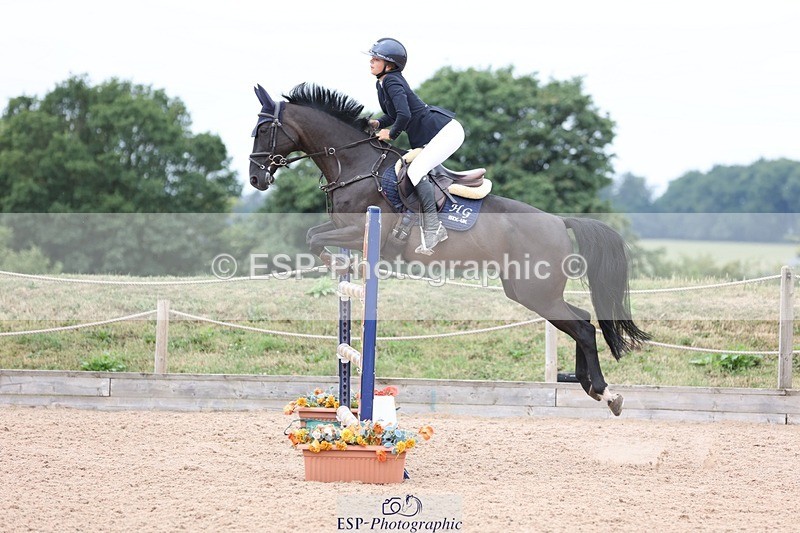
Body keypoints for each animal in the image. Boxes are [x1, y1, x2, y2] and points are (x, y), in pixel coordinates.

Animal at [248, 82, 649, 415]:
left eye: (264, 130)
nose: (255, 178)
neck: (354, 164)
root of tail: (558, 221)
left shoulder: (360, 229)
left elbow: (315, 238)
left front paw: (338, 264)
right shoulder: (340, 227)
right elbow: (314, 234)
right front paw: (339, 267)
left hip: (537, 293)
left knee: (582, 328)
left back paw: (606, 393)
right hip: (528, 291)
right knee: (582, 319)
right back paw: (591, 387)